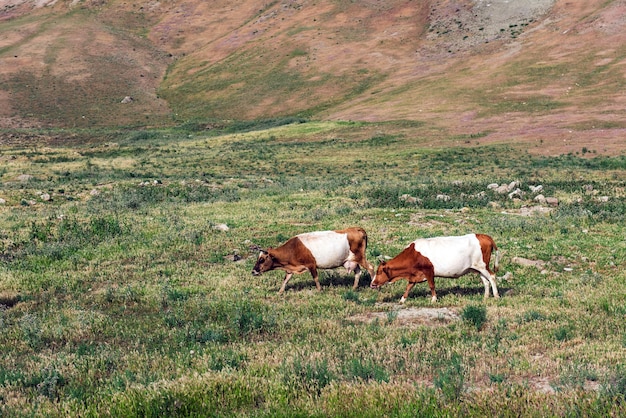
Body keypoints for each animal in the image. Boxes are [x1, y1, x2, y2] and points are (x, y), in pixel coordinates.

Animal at [370, 232, 498, 304]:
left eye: (379, 271)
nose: (372, 284)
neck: (413, 254)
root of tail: (484, 236)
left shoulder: (428, 271)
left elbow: (432, 286)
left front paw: (433, 299)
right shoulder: (414, 275)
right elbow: (408, 287)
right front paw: (402, 300)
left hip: (483, 266)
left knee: (492, 276)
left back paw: (496, 296)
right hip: (478, 268)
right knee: (485, 281)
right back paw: (486, 297)